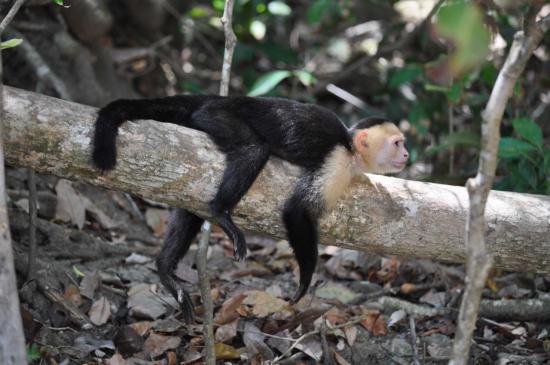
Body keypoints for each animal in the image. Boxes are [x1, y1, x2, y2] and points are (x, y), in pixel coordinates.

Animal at [91, 94, 410, 322]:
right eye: (397, 143)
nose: (407, 154)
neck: (350, 148)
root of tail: (222, 97)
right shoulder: (336, 160)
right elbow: (296, 210)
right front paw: (305, 280)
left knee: (190, 205)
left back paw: (166, 269)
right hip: (218, 115)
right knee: (253, 149)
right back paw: (221, 212)